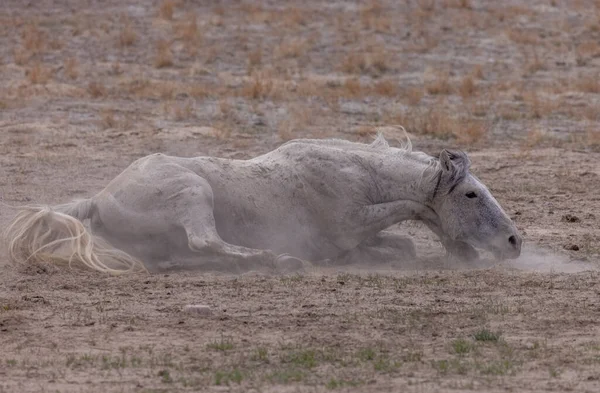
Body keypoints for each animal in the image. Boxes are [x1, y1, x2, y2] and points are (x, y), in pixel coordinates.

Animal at [3, 135, 520, 272]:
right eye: (472, 194)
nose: (515, 241)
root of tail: (99, 198)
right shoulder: (348, 222)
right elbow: (408, 212)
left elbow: (403, 243)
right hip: (193, 192)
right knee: (205, 240)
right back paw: (280, 260)